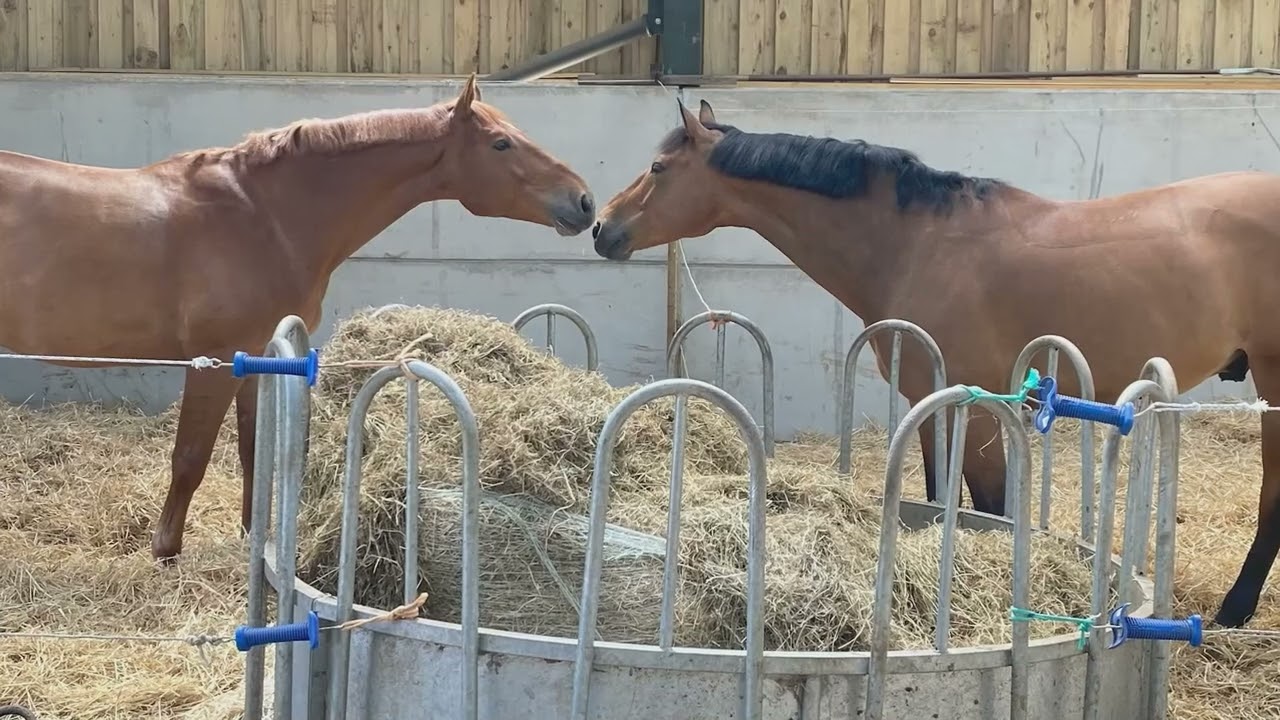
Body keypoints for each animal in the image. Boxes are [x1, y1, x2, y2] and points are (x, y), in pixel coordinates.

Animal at [0, 73, 596, 562]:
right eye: (501, 143)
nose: (585, 202)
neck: (263, 215)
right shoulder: (213, 363)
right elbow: (191, 457)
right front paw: (165, 551)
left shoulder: (253, 359)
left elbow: (252, 450)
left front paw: (252, 538)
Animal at [590, 97, 1280, 630]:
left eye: (658, 167)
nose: (600, 227)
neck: (918, 242)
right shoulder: (931, 402)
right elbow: (937, 494)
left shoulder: (981, 409)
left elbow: (992, 505)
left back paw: (1234, 610)